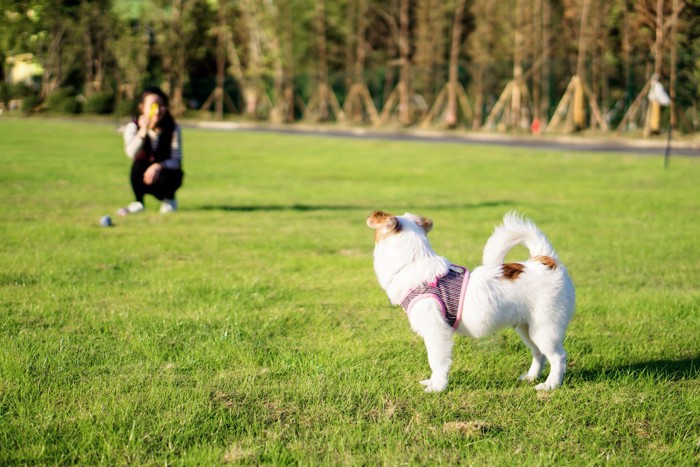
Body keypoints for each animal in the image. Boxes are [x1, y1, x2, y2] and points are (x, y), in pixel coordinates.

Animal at [366, 211, 576, 392]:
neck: (413, 264)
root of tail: (545, 260)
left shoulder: (437, 332)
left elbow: (436, 361)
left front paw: (437, 387)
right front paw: (432, 382)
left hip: (545, 328)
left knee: (558, 356)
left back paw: (550, 385)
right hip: (527, 329)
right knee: (539, 354)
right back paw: (532, 377)